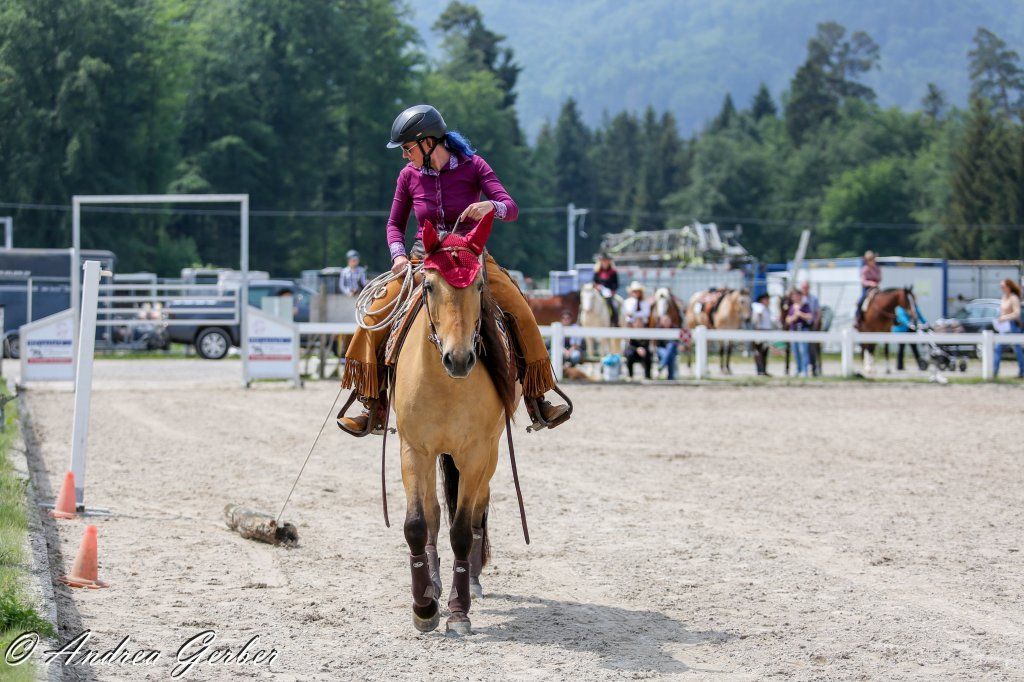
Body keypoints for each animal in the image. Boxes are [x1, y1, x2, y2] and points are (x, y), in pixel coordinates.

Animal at [392, 218, 520, 636]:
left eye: (479, 285)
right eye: (429, 285)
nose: (459, 359)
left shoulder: (477, 453)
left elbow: (463, 530)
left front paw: (458, 610)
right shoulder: (415, 449)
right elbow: (418, 524)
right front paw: (424, 607)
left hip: (487, 456)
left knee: (478, 510)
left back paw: (473, 581)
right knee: (433, 515)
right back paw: (432, 582)